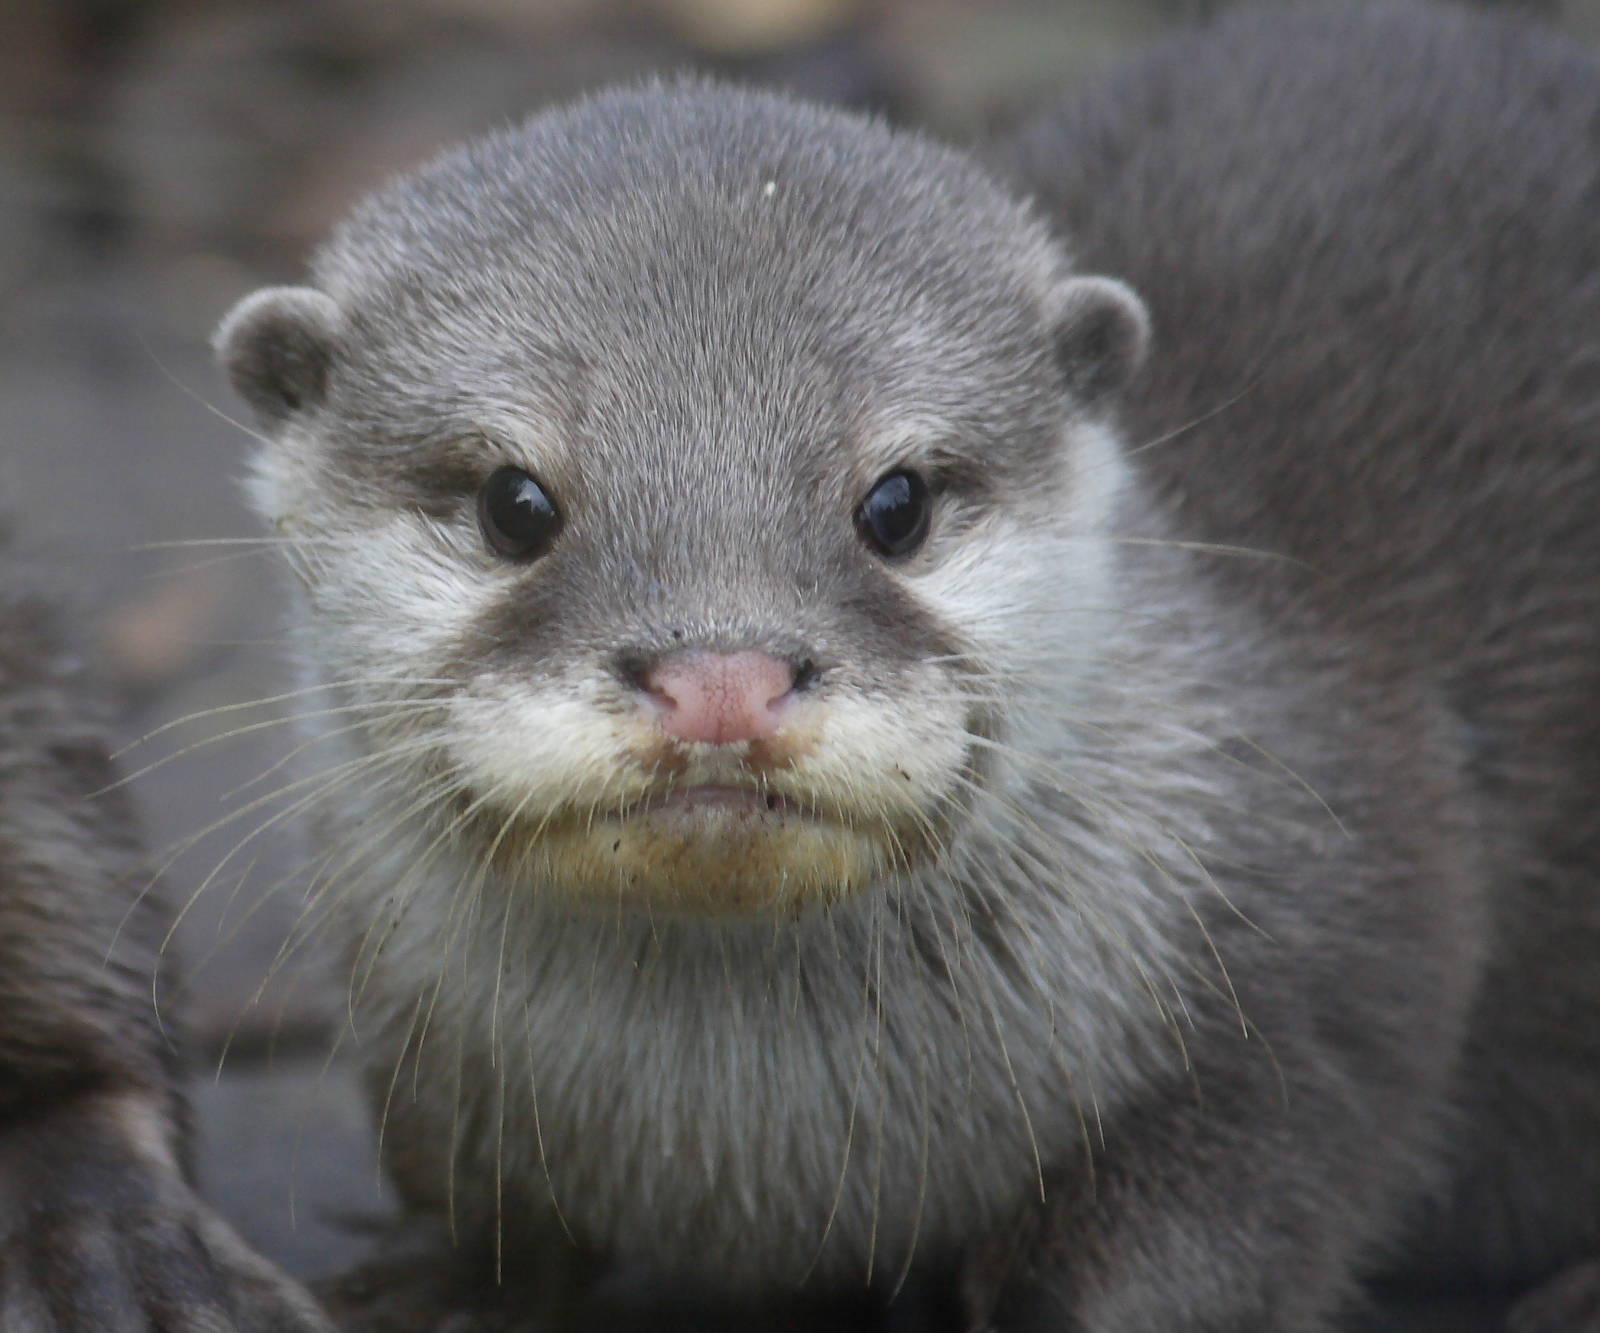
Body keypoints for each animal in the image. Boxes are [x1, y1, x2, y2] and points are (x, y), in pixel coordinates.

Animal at [214, 2, 1600, 1328]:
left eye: (896, 503)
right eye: (514, 503)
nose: (721, 678)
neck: (762, 1159)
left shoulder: (1324, 968)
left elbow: (1233, 1208)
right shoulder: (420, 1043)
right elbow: (467, 1193)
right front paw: (429, 1284)